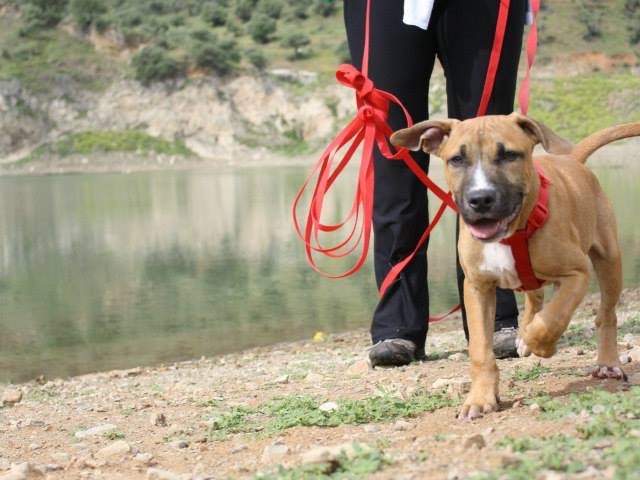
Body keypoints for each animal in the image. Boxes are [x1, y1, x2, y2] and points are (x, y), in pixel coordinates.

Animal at [390, 113, 640, 420]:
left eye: (509, 155)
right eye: (456, 159)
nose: (480, 199)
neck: (512, 232)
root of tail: (572, 161)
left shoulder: (578, 273)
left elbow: (551, 320)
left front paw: (540, 344)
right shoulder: (477, 287)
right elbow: (481, 349)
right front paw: (480, 398)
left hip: (608, 260)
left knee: (606, 314)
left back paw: (606, 362)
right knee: (536, 295)